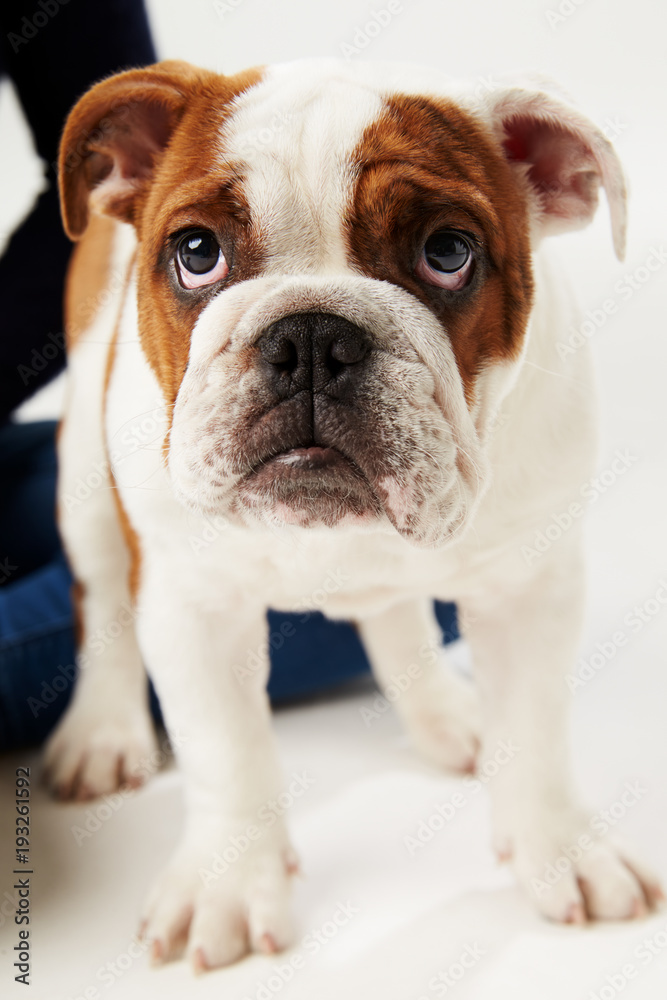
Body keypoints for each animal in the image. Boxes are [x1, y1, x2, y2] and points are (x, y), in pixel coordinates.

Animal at [43, 56, 664, 968]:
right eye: (197, 252)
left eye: (448, 253)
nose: (308, 337)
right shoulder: (193, 604)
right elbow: (226, 753)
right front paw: (228, 885)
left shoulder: (528, 591)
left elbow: (535, 731)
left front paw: (560, 851)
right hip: (84, 473)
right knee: (100, 594)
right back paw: (102, 729)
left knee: (396, 613)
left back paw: (447, 712)